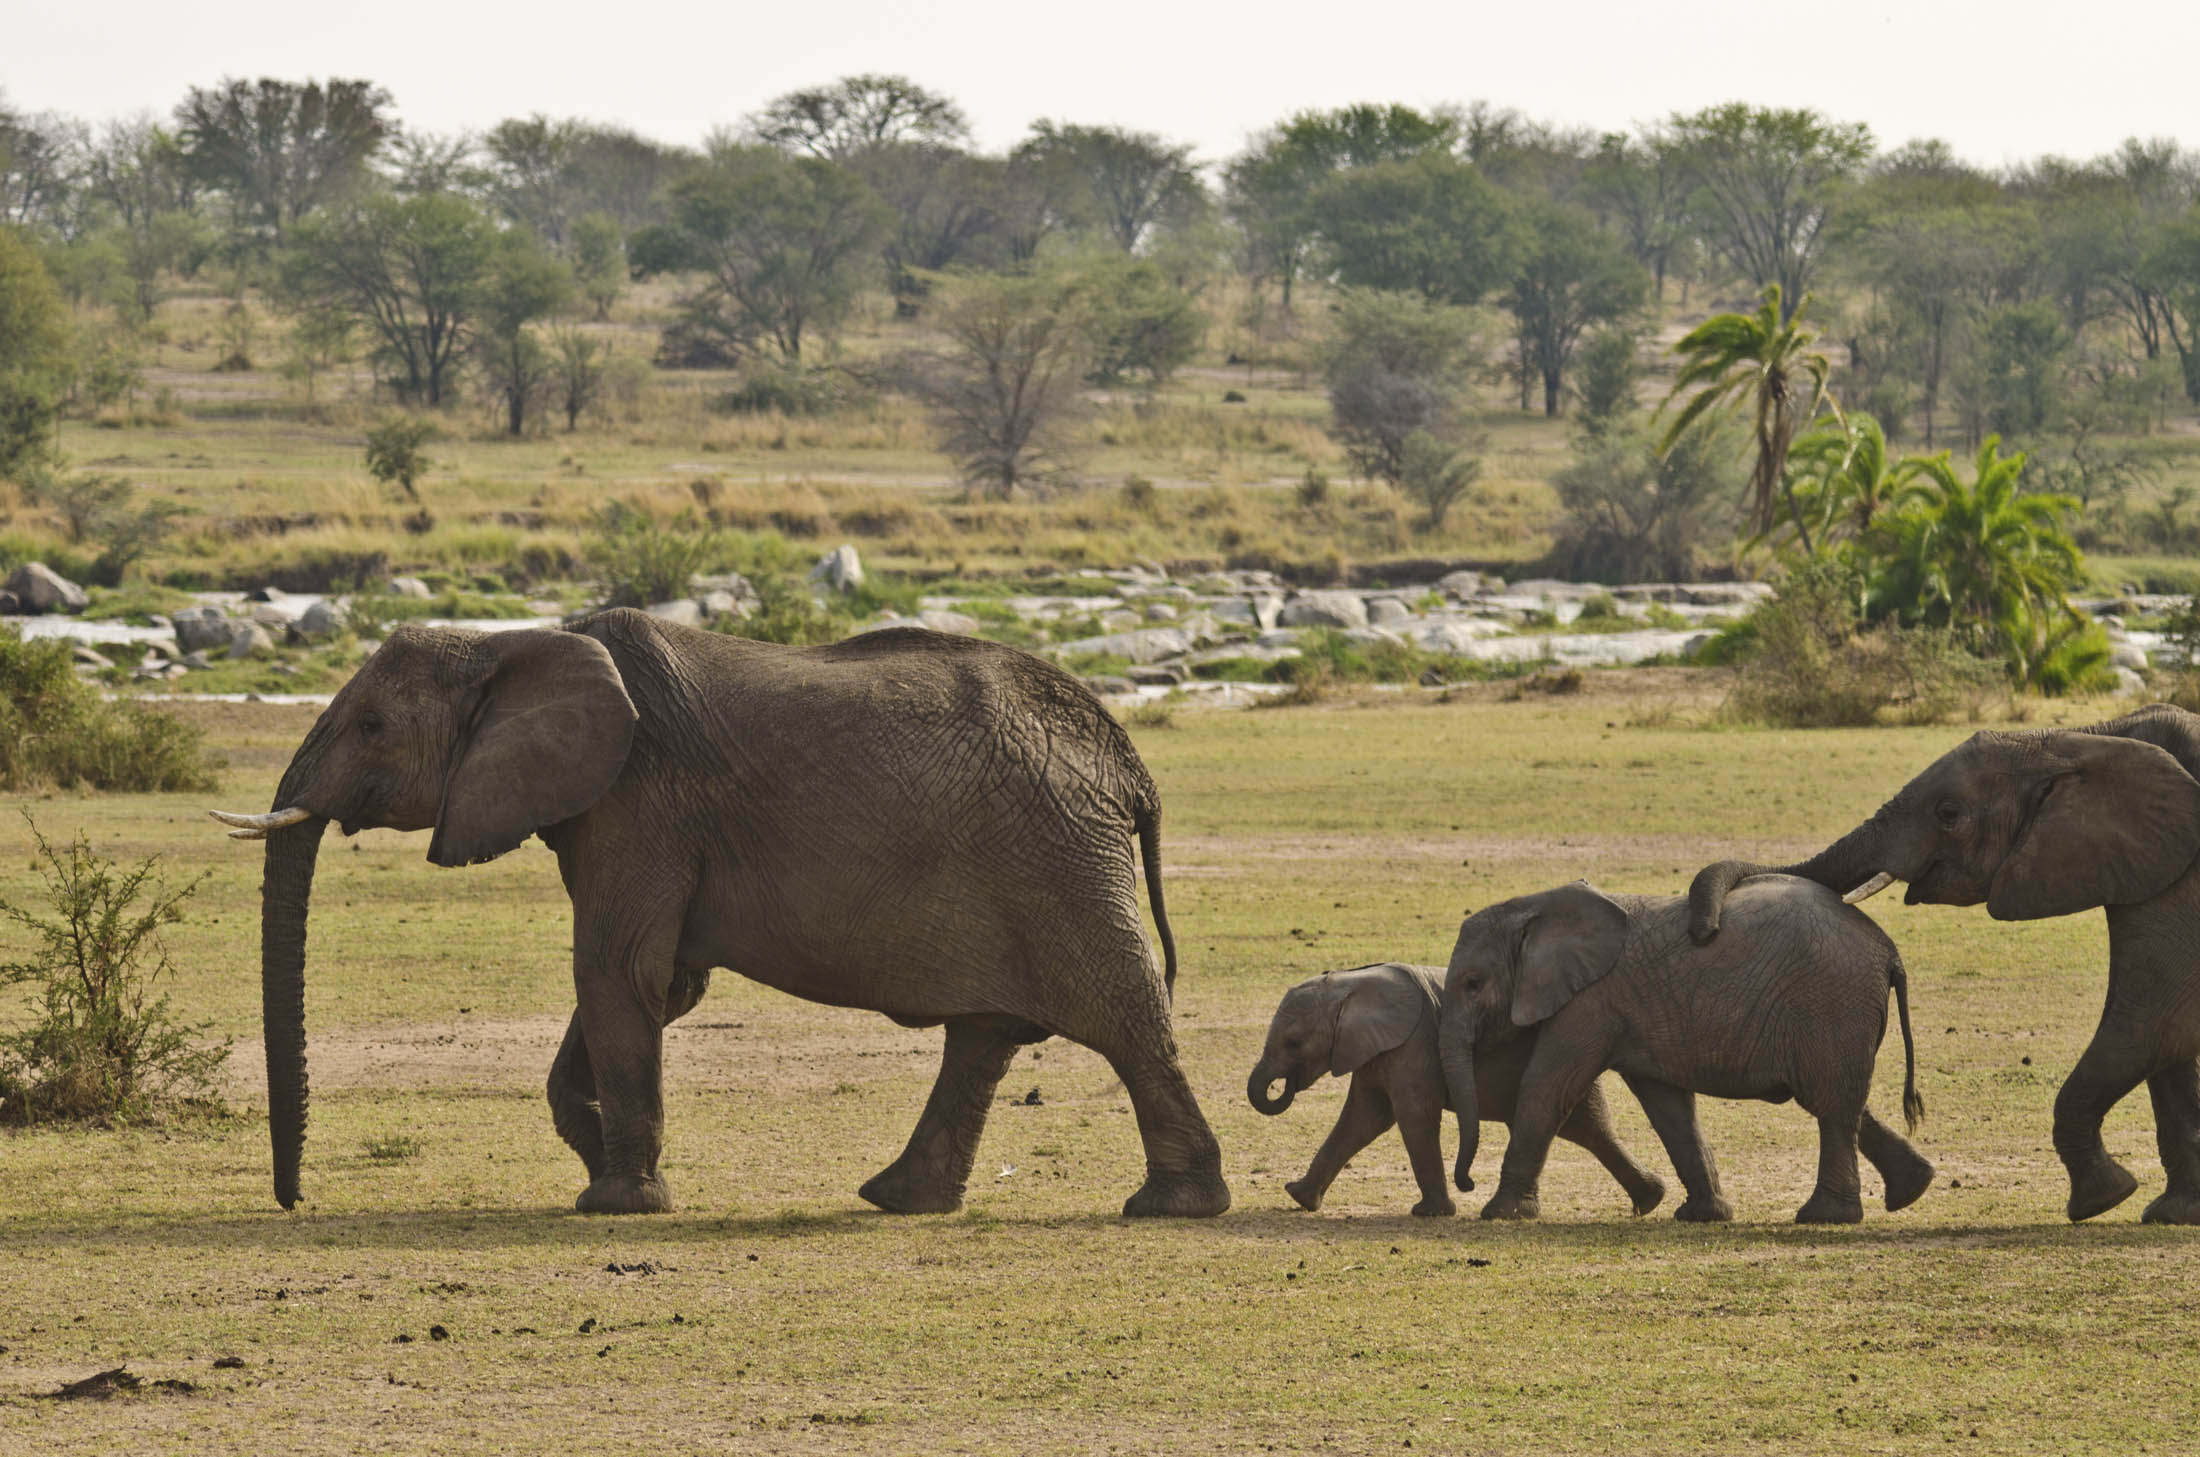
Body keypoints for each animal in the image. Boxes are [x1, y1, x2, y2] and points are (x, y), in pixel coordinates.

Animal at [212, 611, 1232, 1223]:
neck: (511, 643)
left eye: (373, 727)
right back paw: (899, 1198)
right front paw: (600, 1154)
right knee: (983, 1036)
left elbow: (617, 968)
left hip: (1060, 858)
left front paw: (618, 1201)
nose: (292, 1202)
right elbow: (657, 984)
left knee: (1123, 1018)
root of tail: (1127, 762)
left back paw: (1173, 1207)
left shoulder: (638, 800)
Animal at [1249, 968, 1654, 1223]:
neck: (1348, 985)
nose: (1283, 1085)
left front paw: (1430, 1213)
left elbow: (1412, 1114)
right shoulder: (1373, 1049)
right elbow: (1362, 1120)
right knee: (1589, 1130)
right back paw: (1651, 1200)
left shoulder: (1414, 1041)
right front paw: (1298, 1196)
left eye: (1293, 1042)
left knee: (1581, 1126)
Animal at [1443, 871, 1927, 1223]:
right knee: (1841, 1099)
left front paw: (1499, 1214)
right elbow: (1669, 1108)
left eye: (1473, 984)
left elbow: (1546, 1090)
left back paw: (1824, 1217)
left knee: (1831, 1104)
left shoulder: (1589, 1001)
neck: (1532, 908)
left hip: (1831, 1003)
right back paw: (1912, 1189)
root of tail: (1889, 951)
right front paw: (1703, 1215)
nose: (1465, 1184)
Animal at [1680, 704, 2200, 1223]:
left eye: (1947, 814)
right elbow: (2167, 1040)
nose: (1705, 930)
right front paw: (2172, 1213)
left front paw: (2102, 1199)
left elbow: (2153, 1017)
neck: (2086, 738)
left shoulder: (2178, 873)